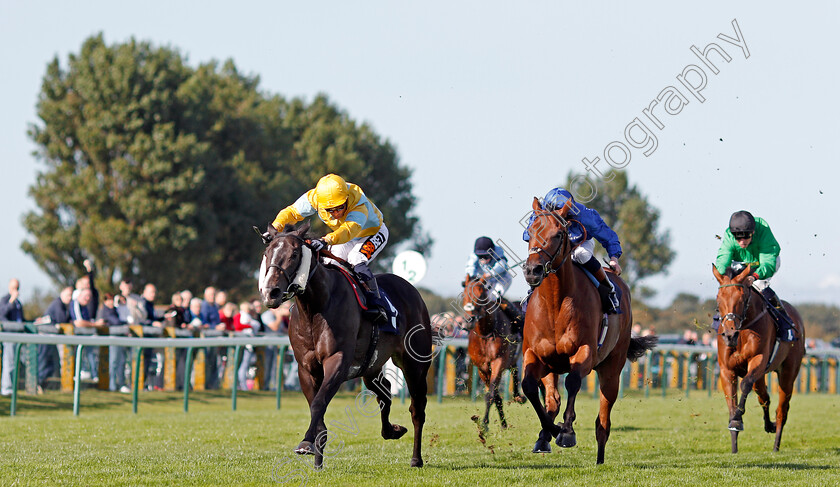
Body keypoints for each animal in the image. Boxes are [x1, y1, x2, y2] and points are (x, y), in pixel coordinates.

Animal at [258, 224, 434, 468]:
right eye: (267, 254)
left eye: (294, 254)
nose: (271, 292)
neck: (315, 308)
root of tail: (412, 290)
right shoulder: (306, 367)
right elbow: (316, 404)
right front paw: (315, 453)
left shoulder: (338, 360)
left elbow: (319, 403)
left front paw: (307, 443)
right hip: (371, 366)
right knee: (384, 392)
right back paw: (391, 430)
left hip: (414, 363)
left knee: (417, 409)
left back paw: (416, 459)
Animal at [460, 276, 524, 428]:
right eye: (464, 294)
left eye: (482, 294)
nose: (469, 320)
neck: (485, 333)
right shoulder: (482, 368)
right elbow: (495, 395)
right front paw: (503, 424)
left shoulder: (498, 362)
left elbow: (491, 394)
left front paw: (484, 425)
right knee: (514, 370)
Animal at [520, 197, 656, 466]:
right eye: (530, 231)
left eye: (558, 234)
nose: (532, 270)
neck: (555, 304)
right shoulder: (535, 355)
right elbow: (529, 386)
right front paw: (549, 432)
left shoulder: (585, 352)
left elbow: (573, 382)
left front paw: (566, 432)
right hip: (552, 367)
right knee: (552, 399)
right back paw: (545, 436)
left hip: (612, 368)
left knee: (603, 420)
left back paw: (599, 458)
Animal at [712, 264, 804, 454]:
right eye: (718, 299)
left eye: (741, 298)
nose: (730, 335)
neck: (743, 331)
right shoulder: (727, 370)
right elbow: (732, 401)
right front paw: (734, 444)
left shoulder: (759, 361)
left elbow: (745, 385)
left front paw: (737, 419)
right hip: (761, 378)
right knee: (764, 397)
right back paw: (769, 425)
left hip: (788, 373)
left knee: (782, 410)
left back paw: (776, 446)